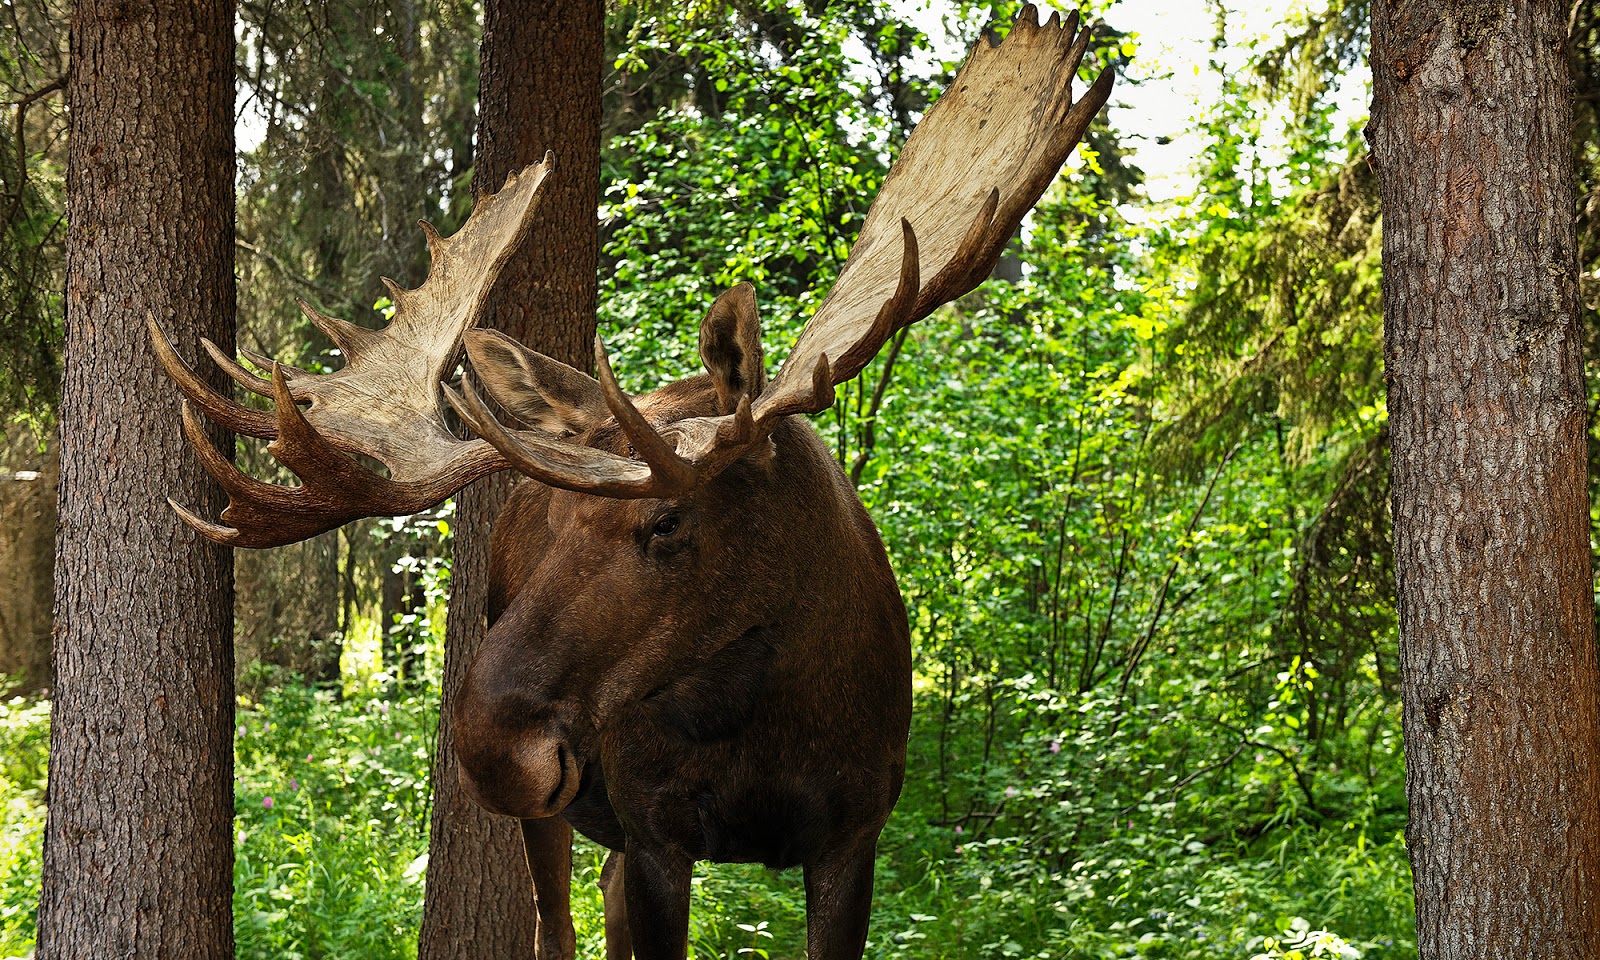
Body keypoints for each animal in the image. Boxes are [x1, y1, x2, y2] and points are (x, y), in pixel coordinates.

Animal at [150, 9, 1113, 960]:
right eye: (553, 519)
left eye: (669, 521)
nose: (491, 746)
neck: (771, 721)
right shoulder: (657, 832)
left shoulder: (857, 829)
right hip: (557, 816)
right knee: (556, 922)